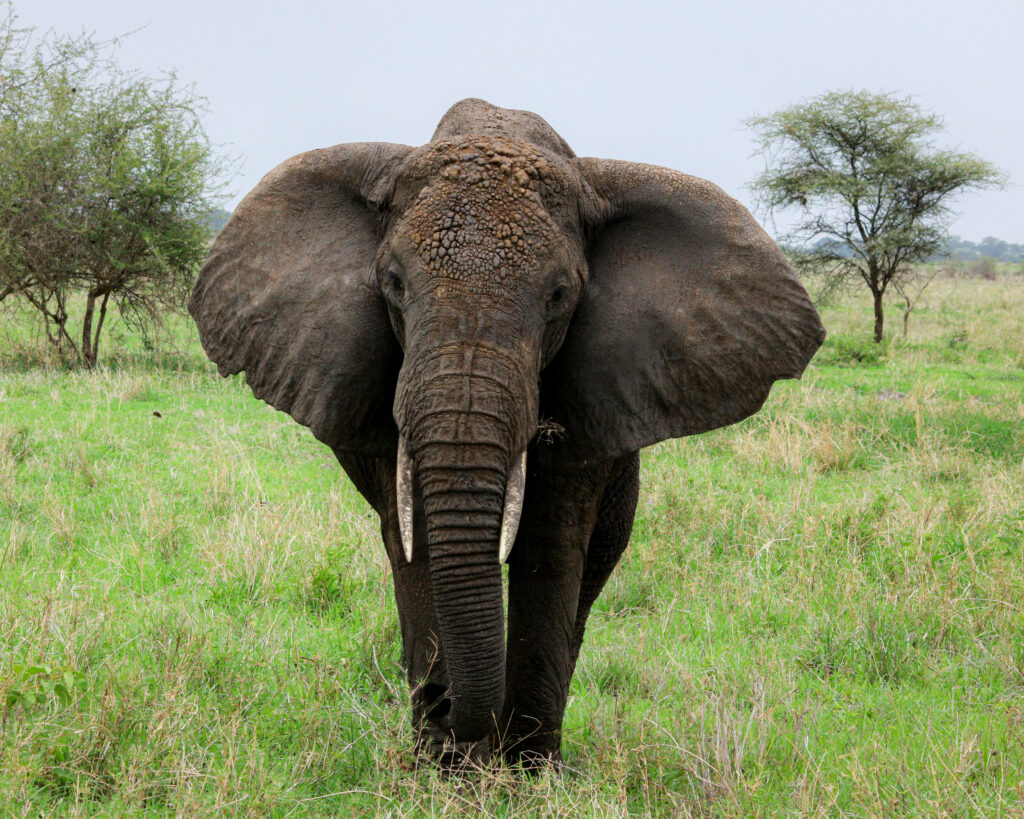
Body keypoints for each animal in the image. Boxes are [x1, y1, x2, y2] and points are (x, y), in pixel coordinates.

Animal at [188, 99, 825, 767]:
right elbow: (414, 542)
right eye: (393, 283)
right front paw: (447, 766)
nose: (442, 708)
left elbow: (550, 542)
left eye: (559, 296)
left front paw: (525, 769)